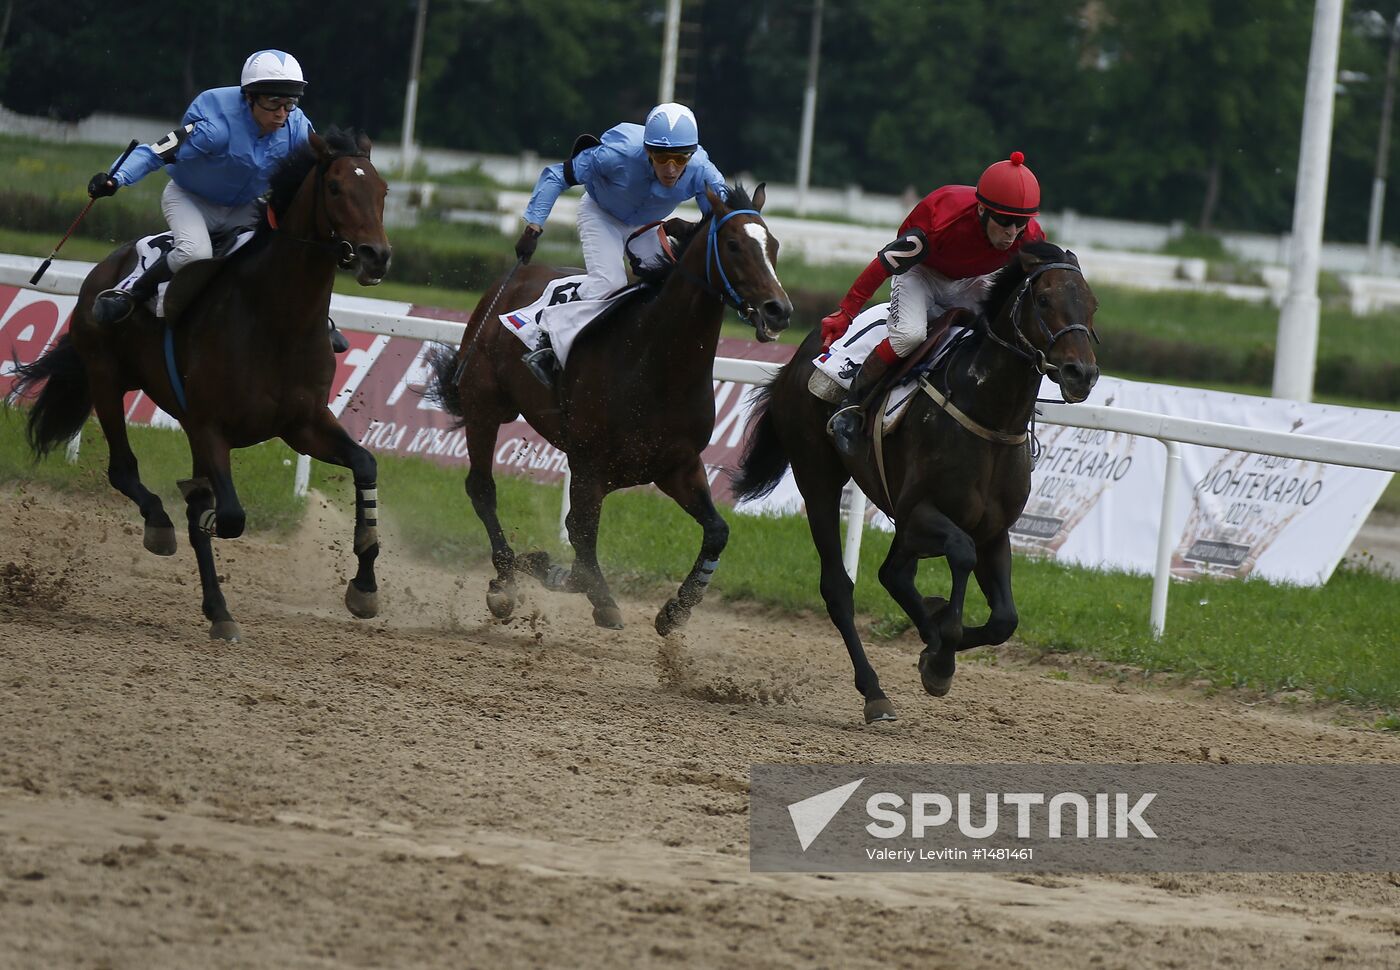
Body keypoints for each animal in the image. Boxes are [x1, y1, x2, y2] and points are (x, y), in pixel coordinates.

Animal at [9, 127, 392, 642]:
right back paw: (160, 525)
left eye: (382, 191)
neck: (277, 319)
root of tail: (106, 265)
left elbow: (365, 465)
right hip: (105, 378)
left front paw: (365, 586)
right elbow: (224, 516)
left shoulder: (303, 423)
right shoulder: (210, 426)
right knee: (123, 470)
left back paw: (219, 610)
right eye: (335, 188)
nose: (376, 256)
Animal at [426, 184, 792, 635]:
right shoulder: (590, 466)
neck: (656, 363)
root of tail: (506, 285)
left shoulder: (677, 465)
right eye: (734, 244)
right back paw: (505, 582)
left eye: (773, 245)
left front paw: (676, 609)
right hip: (484, 405)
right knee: (481, 488)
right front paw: (587, 592)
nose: (779, 310)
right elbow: (582, 542)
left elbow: (717, 530)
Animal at [733, 241, 1100, 724]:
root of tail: (799, 357)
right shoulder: (921, 511)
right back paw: (875, 692)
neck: (988, 414)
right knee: (839, 587)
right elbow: (959, 553)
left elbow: (1004, 619)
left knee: (893, 572)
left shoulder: (993, 529)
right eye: (1043, 300)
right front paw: (940, 654)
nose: (1082, 373)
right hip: (818, 478)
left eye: (1092, 304)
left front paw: (938, 636)